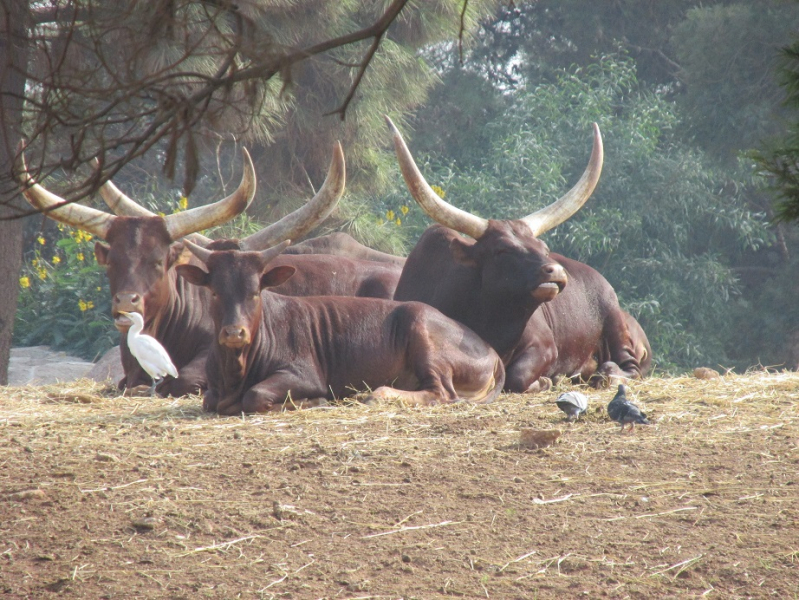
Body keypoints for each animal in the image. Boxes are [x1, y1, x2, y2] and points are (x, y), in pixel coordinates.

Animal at [177, 239, 506, 412]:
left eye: (255, 292)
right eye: (215, 292)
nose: (234, 332)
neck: (235, 368)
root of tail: (490, 350)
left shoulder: (303, 374)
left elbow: (255, 395)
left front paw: (313, 401)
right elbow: (209, 399)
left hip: (421, 330)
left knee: (441, 393)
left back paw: (374, 394)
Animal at [390, 118, 648, 394]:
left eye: (543, 247)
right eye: (501, 250)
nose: (555, 271)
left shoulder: (544, 346)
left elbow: (517, 377)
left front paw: (546, 380)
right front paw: (547, 380)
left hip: (616, 327)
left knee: (626, 368)